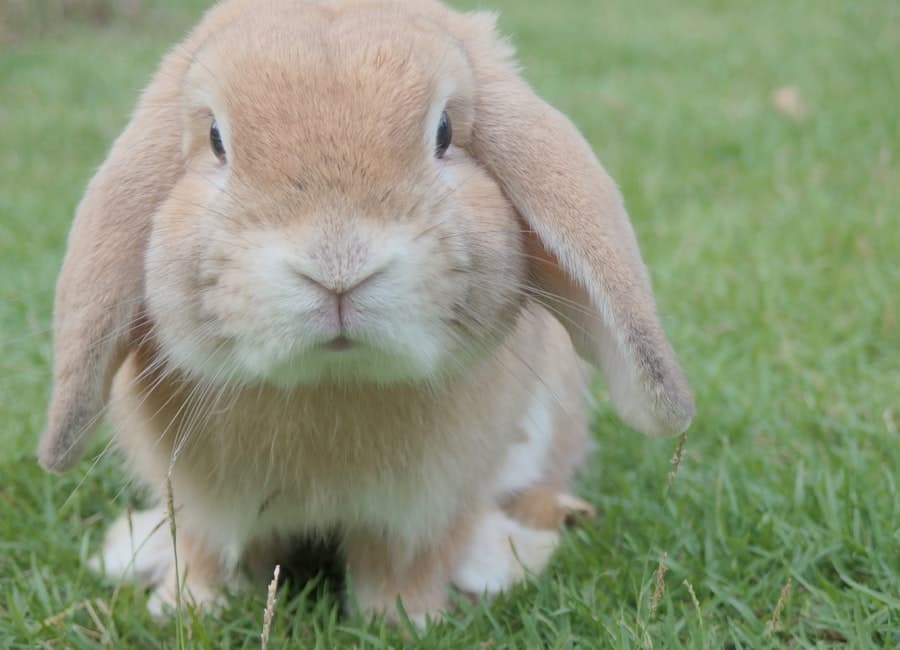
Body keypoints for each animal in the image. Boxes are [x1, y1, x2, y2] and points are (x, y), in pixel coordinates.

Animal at [37, 0, 694, 623]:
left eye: (445, 131)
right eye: (218, 140)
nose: (337, 266)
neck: (332, 383)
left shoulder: (423, 509)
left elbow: (401, 562)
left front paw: (407, 620)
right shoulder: (201, 506)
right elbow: (207, 553)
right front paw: (186, 608)